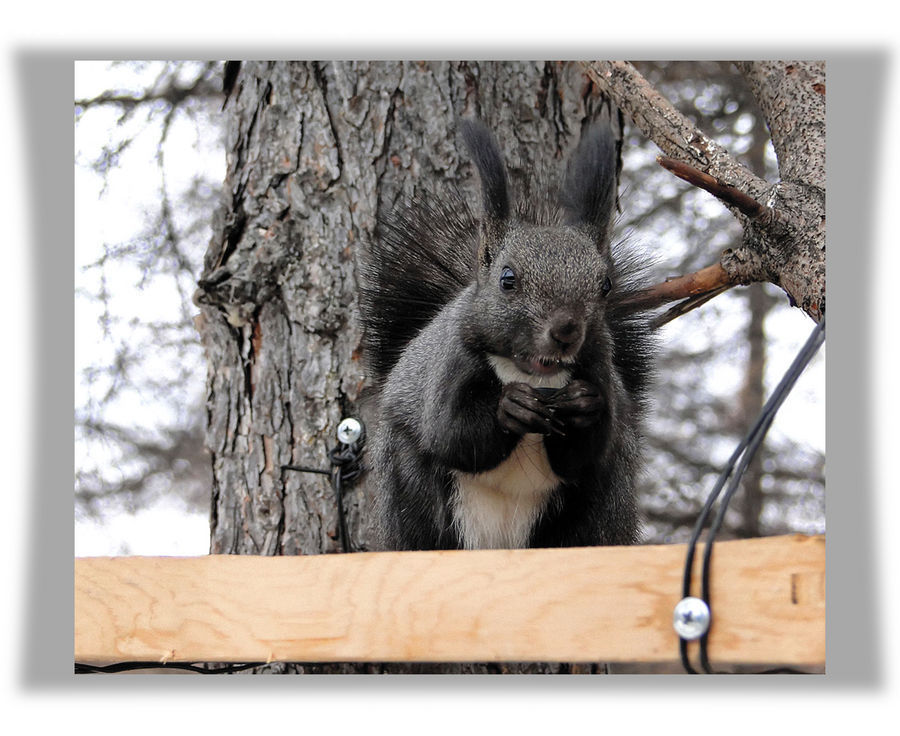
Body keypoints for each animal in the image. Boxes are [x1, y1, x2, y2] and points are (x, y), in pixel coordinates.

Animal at [359, 117, 654, 550]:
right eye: (507, 279)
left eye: (605, 285)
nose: (566, 330)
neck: (529, 373)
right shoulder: (447, 371)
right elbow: (453, 435)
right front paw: (510, 407)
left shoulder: (600, 372)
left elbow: (584, 453)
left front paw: (582, 404)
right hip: (409, 486)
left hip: (601, 503)